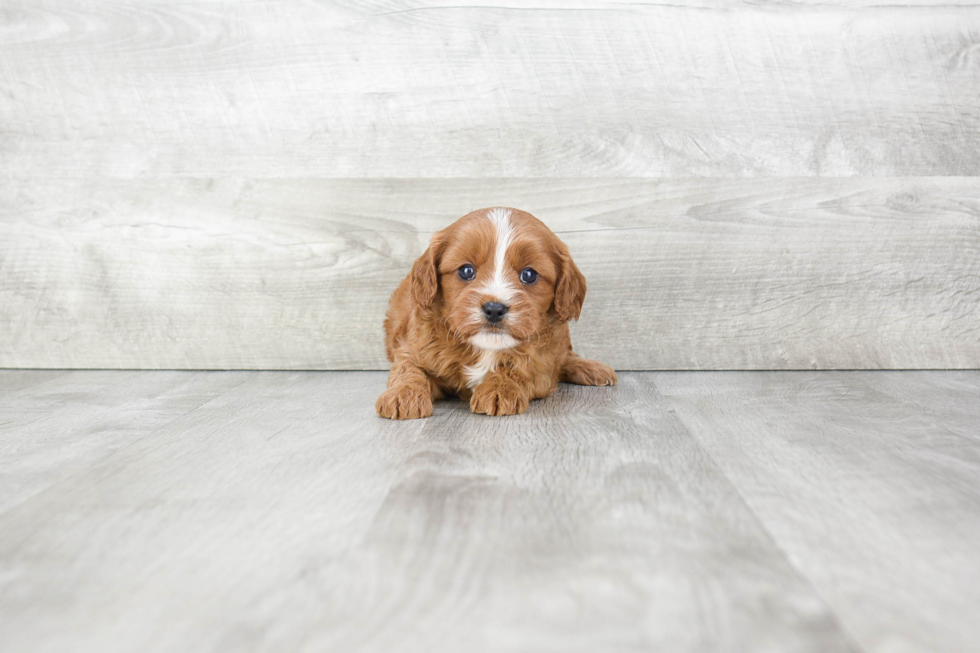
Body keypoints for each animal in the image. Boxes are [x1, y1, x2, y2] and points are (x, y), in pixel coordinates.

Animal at [376, 206, 612, 420]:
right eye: (466, 271)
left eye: (529, 275)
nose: (495, 309)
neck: (486, 348)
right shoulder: (412, 348)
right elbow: (408, 369)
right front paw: (403, 395)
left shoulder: (541, 365)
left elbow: (520, 368)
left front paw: (499, 388)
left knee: (565, 357)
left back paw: (593, 369)